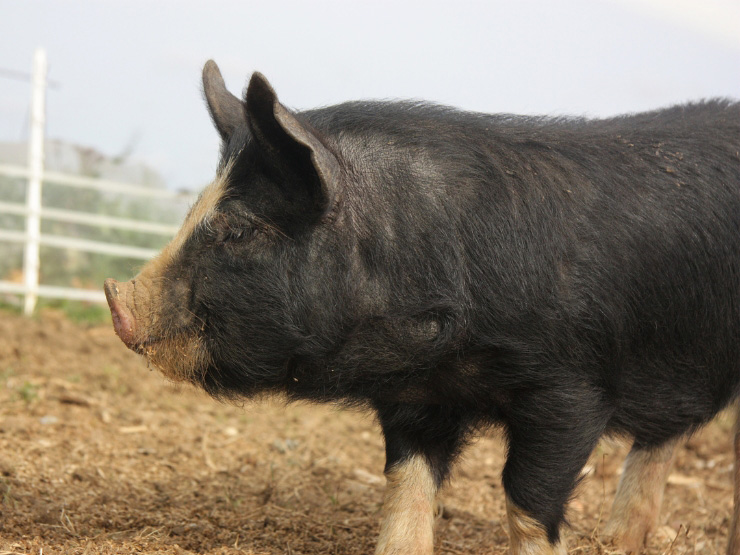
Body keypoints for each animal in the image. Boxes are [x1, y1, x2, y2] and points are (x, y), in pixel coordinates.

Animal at [105, 59, 740, 554]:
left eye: (238, 230)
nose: (116, 300)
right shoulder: (419, 397)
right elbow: (406, 488)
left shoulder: (571, 389)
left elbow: (529, 501)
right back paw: (619, 542)